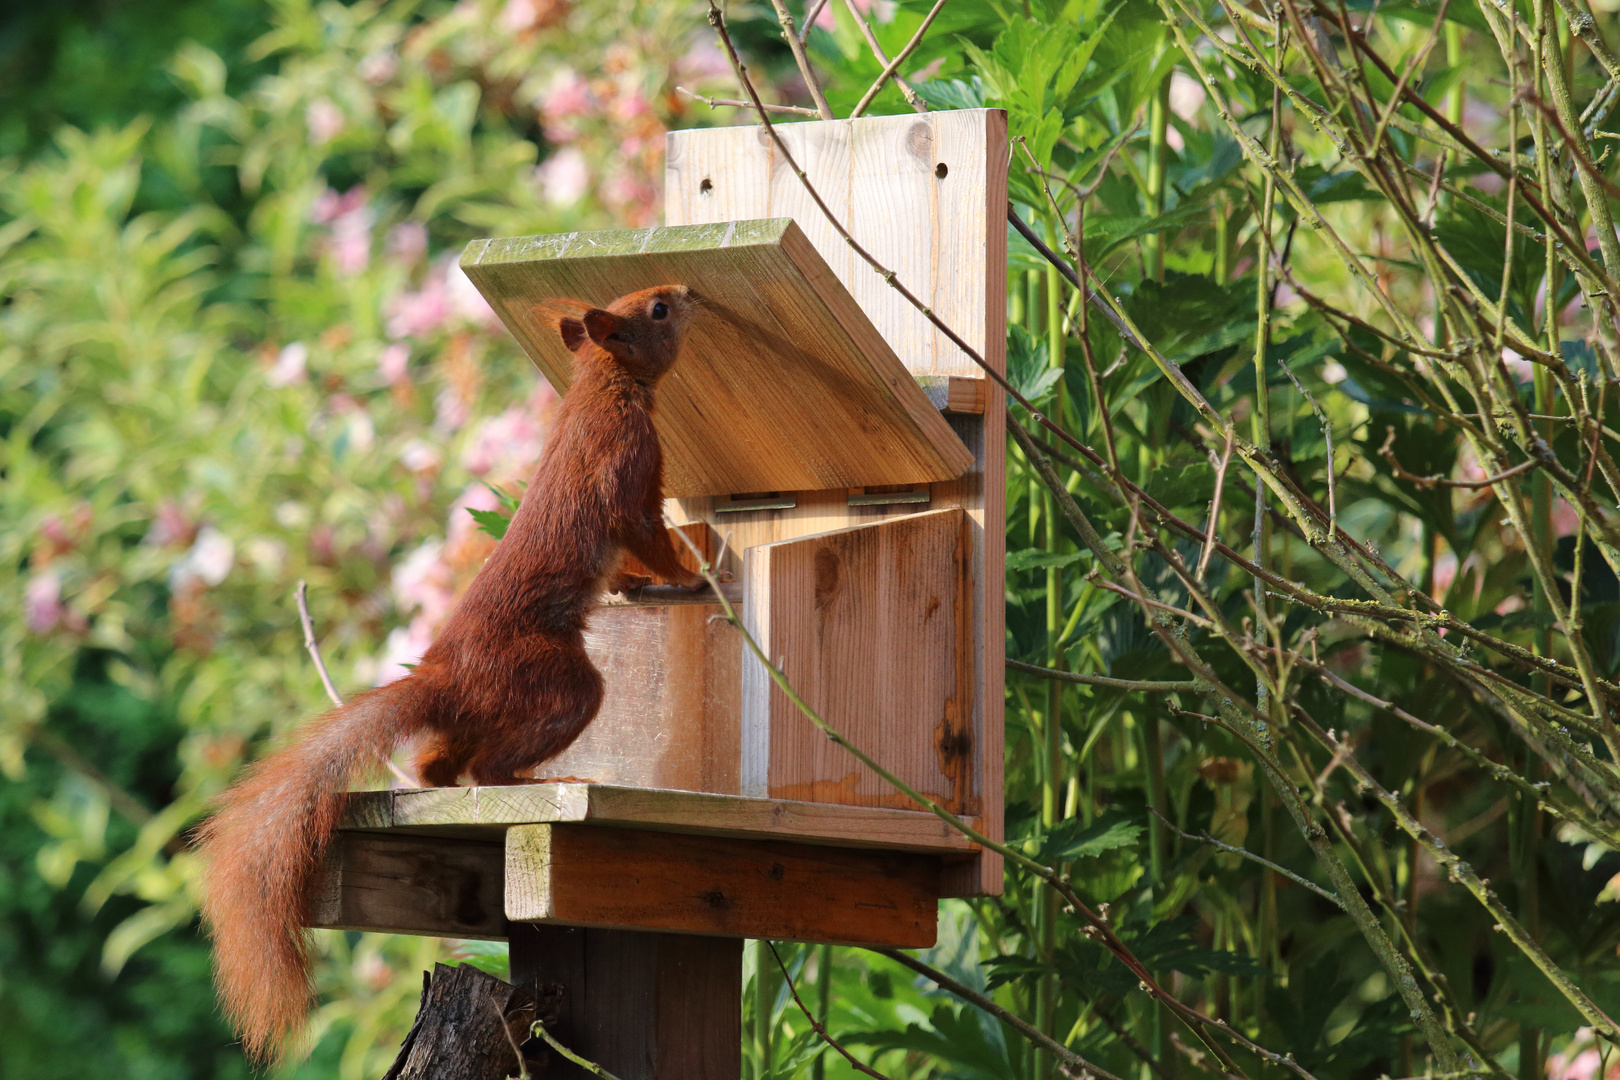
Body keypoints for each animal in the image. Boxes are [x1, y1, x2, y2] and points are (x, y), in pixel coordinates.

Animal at [196, 283, 703, 1062]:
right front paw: (695, 578)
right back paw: (541, 779)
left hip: (484, 710)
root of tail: (448, 674)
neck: (602, 386)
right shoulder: (628, 468)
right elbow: (645, 534)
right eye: (656, 310)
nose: (688, 292)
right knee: (490, 766)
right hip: (556, 685)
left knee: (439, 763)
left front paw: (649, 585)